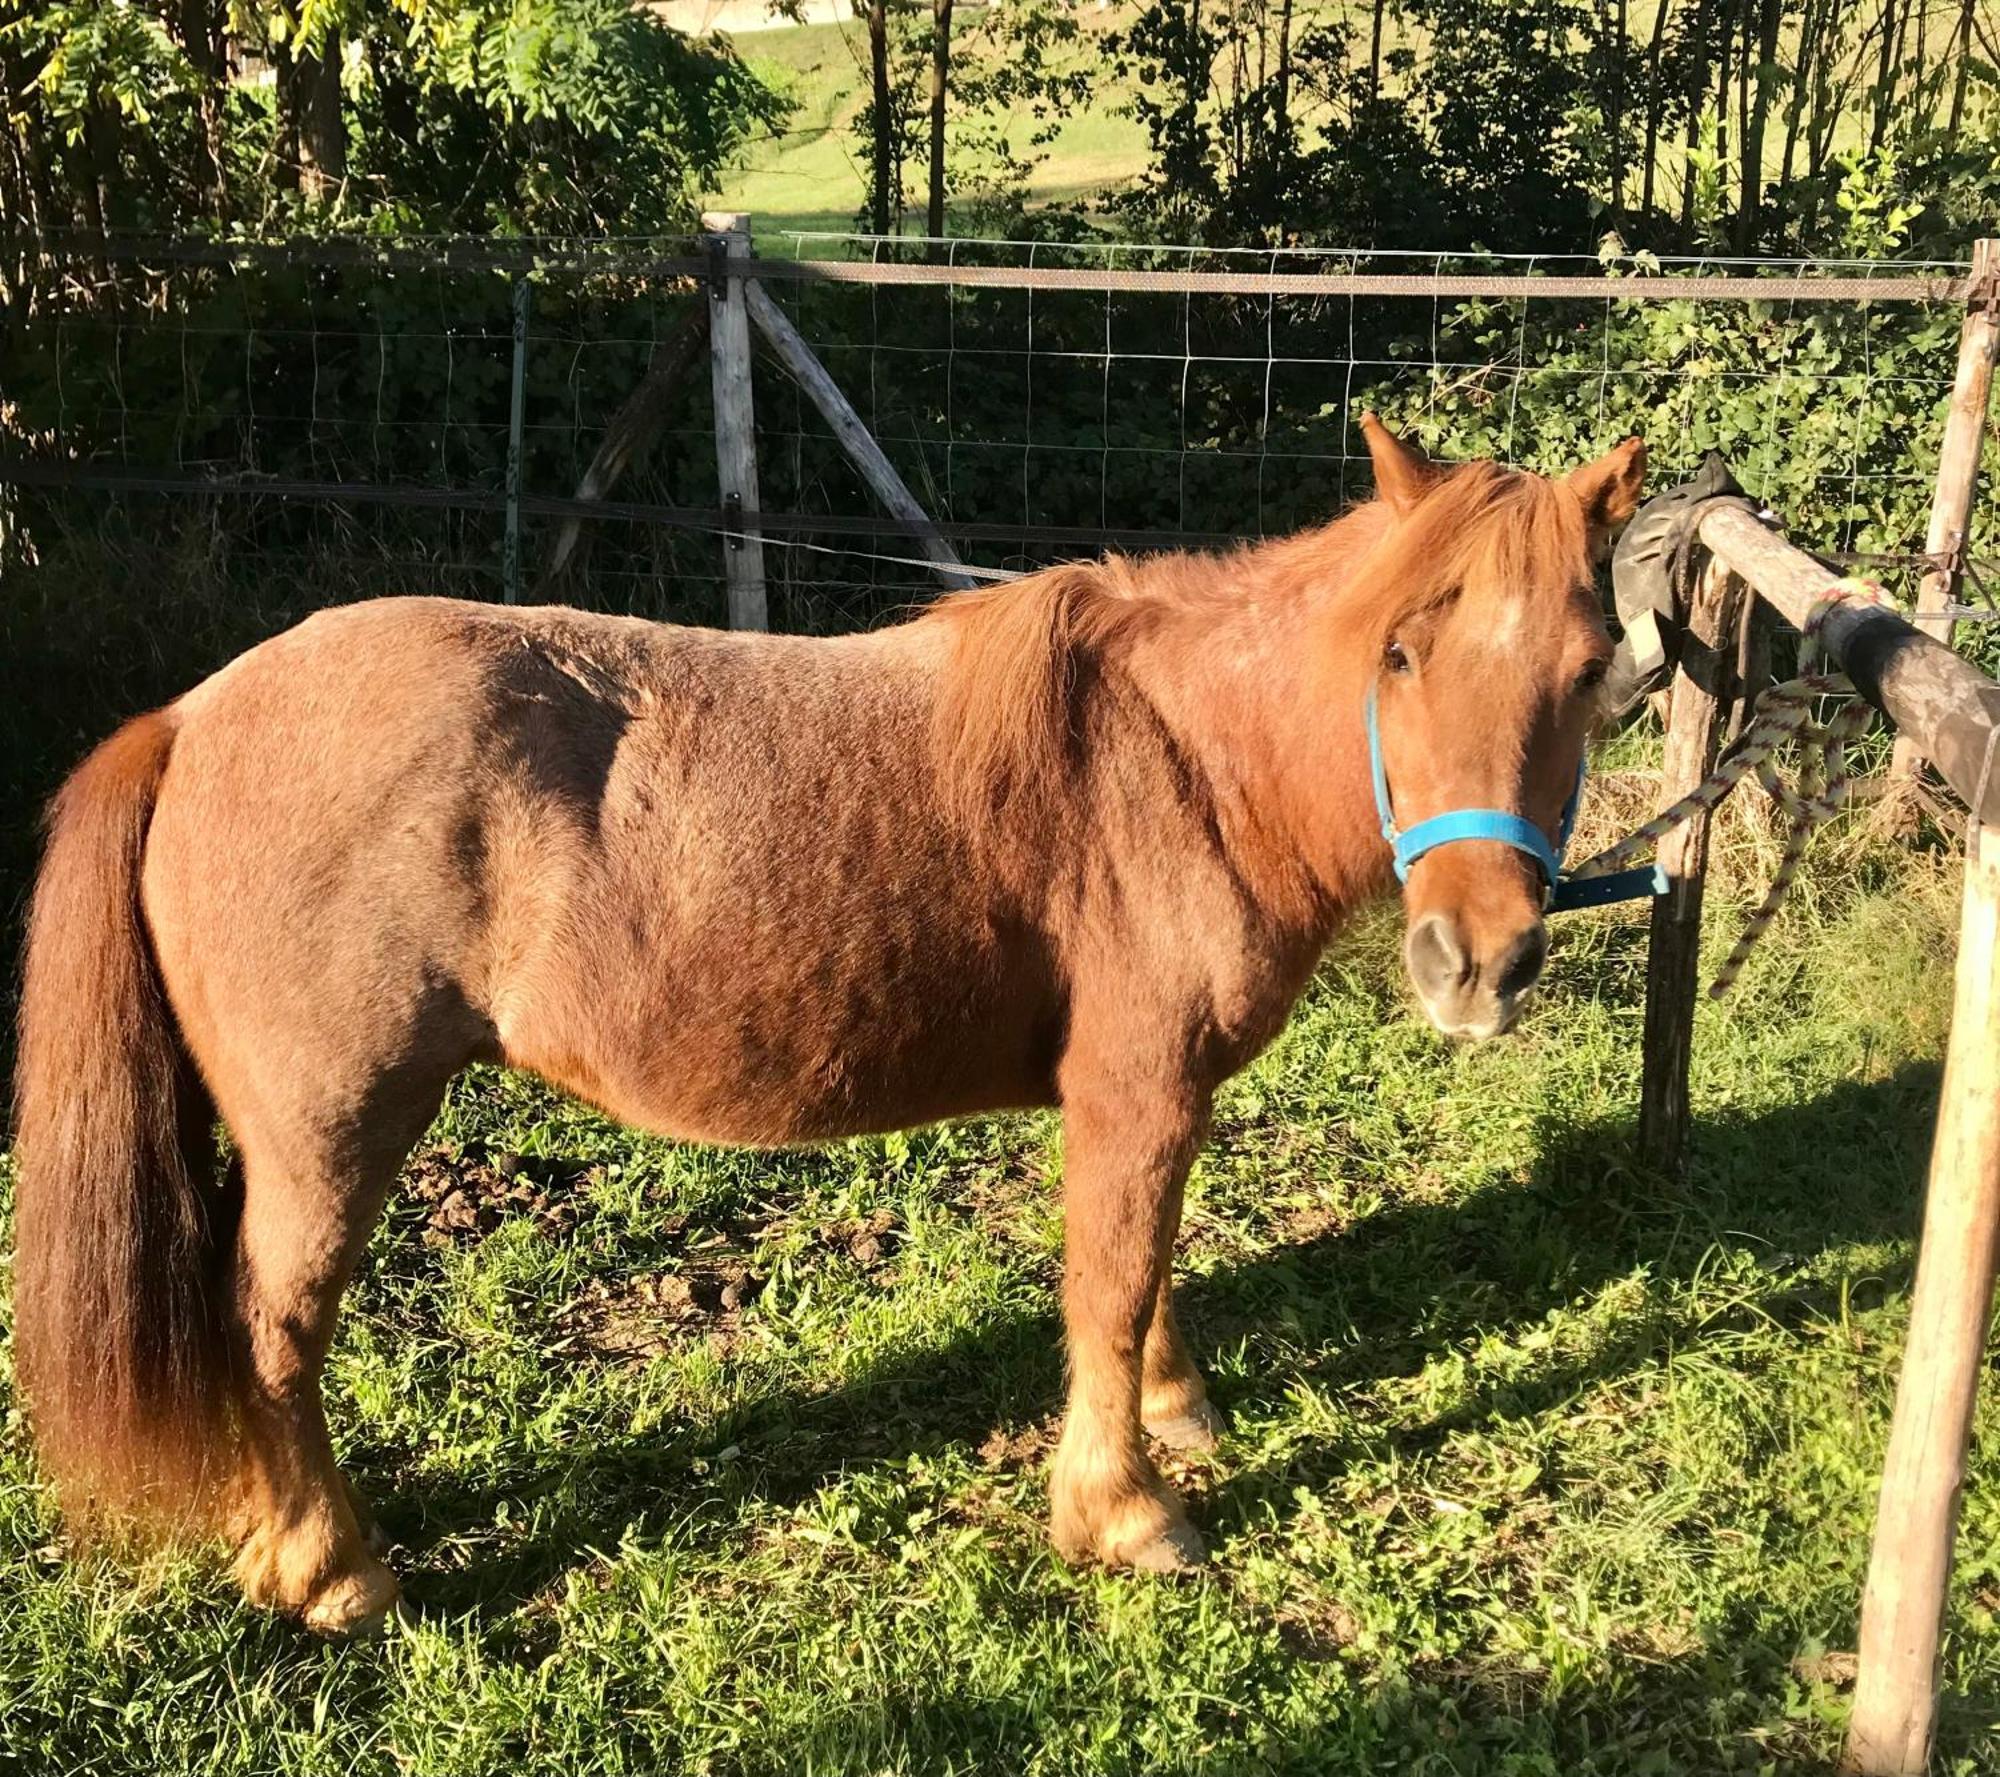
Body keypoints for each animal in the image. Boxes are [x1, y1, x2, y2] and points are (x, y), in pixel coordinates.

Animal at [11, 420, 1640, 1640]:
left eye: (1591, 673)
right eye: (1400, 656)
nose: (1478, 963)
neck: (1179, 760)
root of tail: (191, 719)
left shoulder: (1152, 1098)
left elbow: (1148, 1264)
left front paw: (1175, 1418)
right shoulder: (1134, 1086)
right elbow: (1110, 1287)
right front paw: (1123, 1509)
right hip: (331, 1134)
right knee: (272, 1331)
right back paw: (337, 1570)